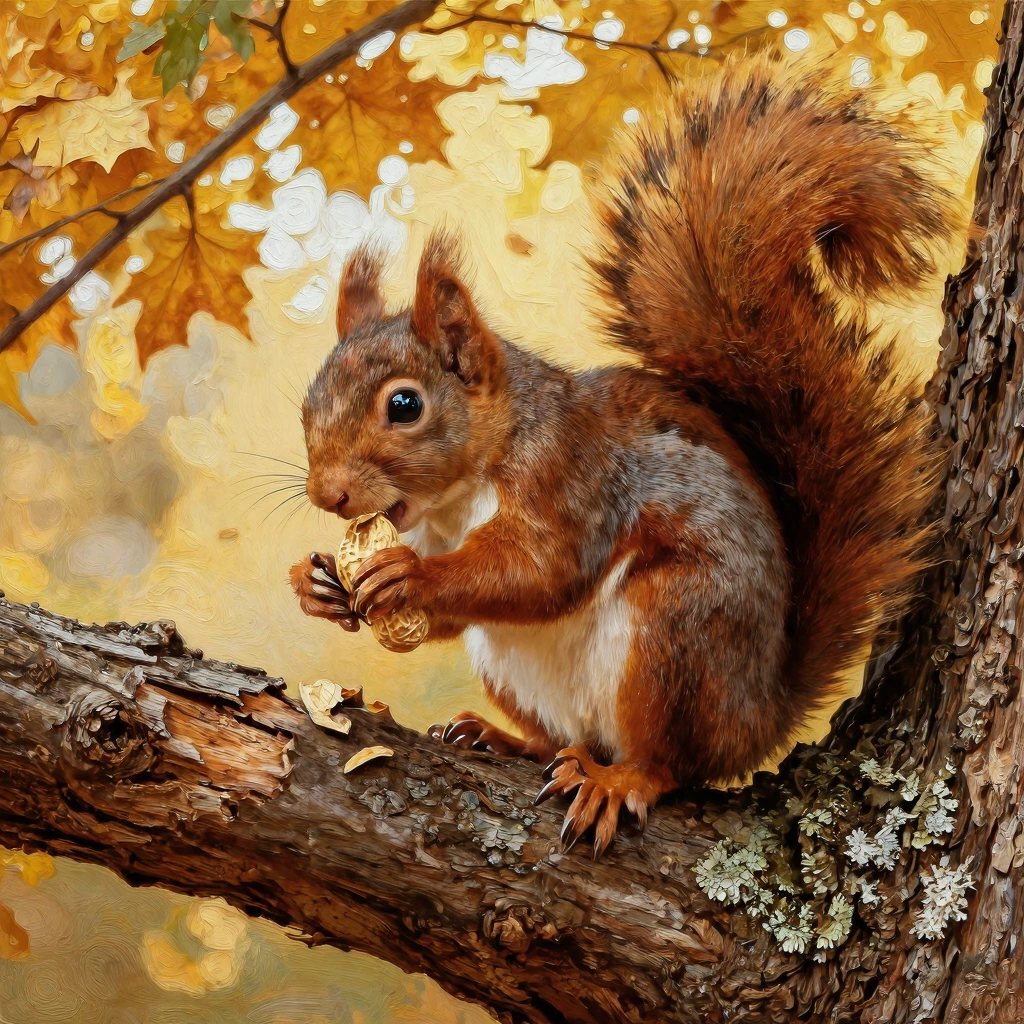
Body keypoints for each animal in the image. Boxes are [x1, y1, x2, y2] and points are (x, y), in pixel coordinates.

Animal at [290, 57, 959, 856]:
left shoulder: (570, 475)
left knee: (668, 762)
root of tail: (760, 714)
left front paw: (410, 575)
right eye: (307, 402)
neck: (462, 492)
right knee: (562, 740)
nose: (327, 495)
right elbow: (451, 613)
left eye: (403, 406)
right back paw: (507, 740)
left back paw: (618, 780)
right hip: (515, 667)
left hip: (676, 636)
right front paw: (316, 582)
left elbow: (540, 570)